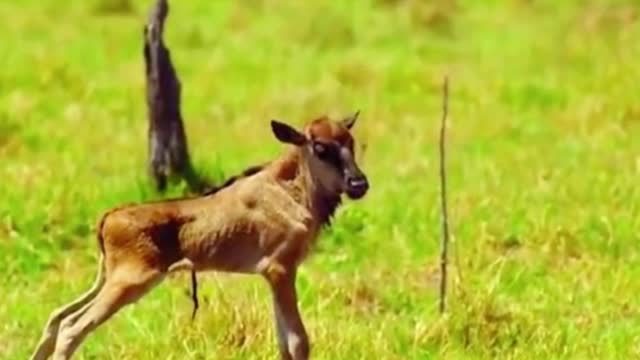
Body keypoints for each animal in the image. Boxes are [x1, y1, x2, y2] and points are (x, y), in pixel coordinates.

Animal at [31, 111, 370, 358]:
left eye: (351, 143)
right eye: (320, 147)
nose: (359, 184)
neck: (290, 190)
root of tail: (109, 218)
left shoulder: (273, 275)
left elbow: (284, 341)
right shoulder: (281, 270)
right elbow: (298, 341)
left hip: (111, 280)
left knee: (57, 318)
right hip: (130, 282)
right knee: (73, 328)